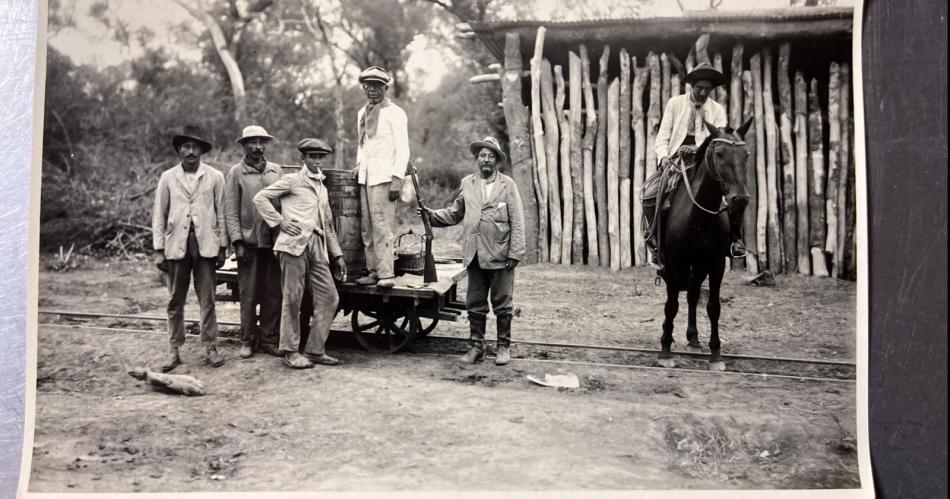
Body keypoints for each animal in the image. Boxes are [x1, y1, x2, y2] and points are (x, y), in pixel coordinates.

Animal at [660, 118, 756, 372]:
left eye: (746, 154)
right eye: (720, 153)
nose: (740, 199)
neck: (698, 218)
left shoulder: (715, 263)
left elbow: (713, 307)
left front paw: (716, 355)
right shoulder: (673, 263)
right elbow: (671, 305)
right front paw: (665, 351)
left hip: (700, 265)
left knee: (693, 294)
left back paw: (693, 340)